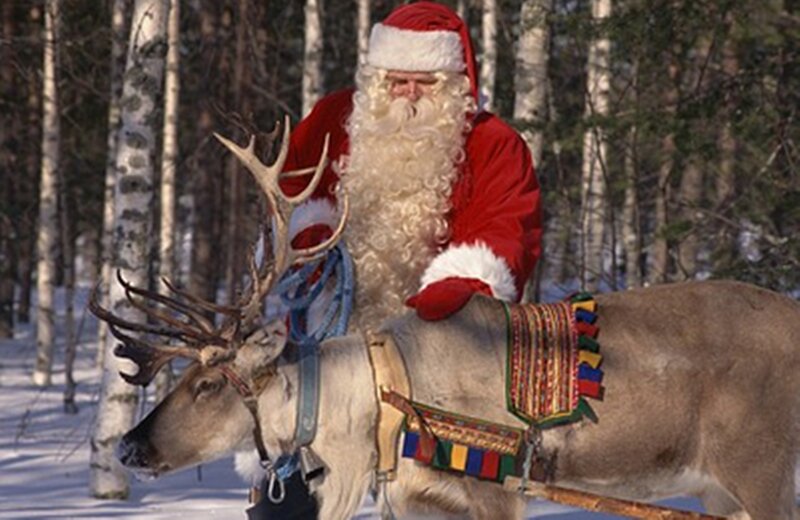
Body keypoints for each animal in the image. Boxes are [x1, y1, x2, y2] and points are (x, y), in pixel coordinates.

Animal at [91, 120, 800, 520]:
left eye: (207, 384)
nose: (129, 446)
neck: (382, 404)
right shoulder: (418, 500)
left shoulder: (497, 494)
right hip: (720, 491)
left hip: (760, 469)